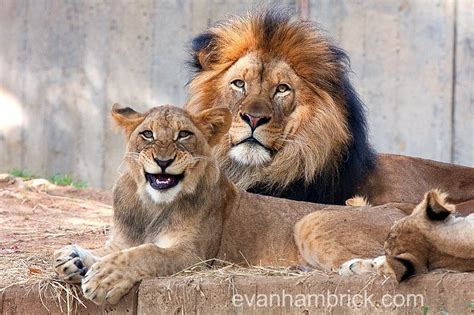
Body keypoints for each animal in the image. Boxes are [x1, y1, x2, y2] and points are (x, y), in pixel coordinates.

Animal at [54, 105, 404, 304]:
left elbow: (145, 253)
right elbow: (110, 250)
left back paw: (358, 267)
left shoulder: (193, 256)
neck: (151, 205)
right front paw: (73, 259)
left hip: (311, 222)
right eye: (148, 135)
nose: (163, 161)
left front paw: (103, 278)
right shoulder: (120, 241)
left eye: (183, 135)